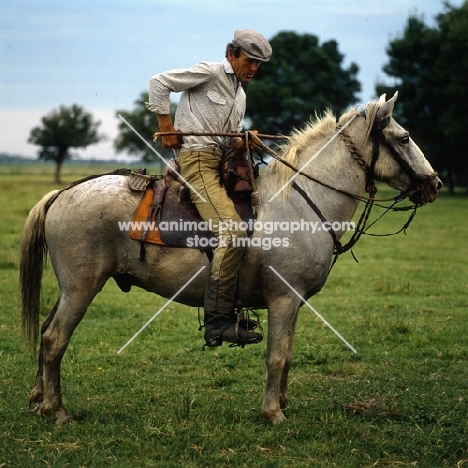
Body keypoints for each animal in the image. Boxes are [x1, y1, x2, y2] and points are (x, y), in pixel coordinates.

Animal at [19, 92, 442, 424]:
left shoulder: (294, 303)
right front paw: (273, 413)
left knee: (46, 330)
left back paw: (39, 400)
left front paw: (284, 404)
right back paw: (56, 410)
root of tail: (62, 193)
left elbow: (287, 354)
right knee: (55, 338)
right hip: (81, 288)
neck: (301, 202)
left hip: (69, 289)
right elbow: (277, 357)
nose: (435, 184)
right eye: (404, 138)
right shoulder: (283, 300)